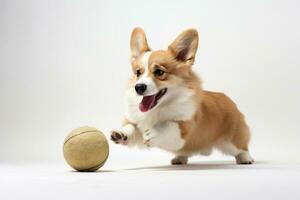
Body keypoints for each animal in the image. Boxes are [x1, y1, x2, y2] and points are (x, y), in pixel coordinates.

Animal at [111, 27, 254, 164]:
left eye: (159, 72)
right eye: (138, 73)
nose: (139, 87)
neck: (159, 108)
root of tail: (229, 99)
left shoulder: (183, 130)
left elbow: (168, 125)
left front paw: (154, 132)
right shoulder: (136, 121)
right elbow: (130, 126)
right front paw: (121, 134)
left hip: (232, 141)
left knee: (242, 147)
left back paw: (246, 158)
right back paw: (180, 158)